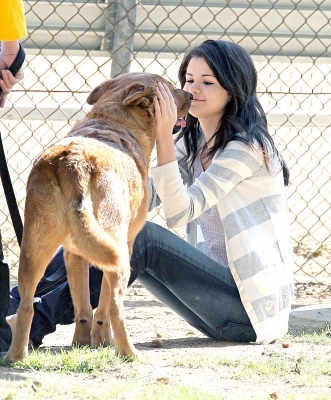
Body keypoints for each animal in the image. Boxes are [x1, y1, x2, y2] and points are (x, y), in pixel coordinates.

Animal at [3, 72, 192, 362]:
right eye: (172, 90)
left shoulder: (73, 253)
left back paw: (16, 356)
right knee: (115, 306)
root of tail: (73, 162)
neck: (115, 119)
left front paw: (82, 344)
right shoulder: (125, 243)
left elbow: (82, 308)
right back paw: (129, 353)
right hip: (118, 255)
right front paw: (102, 341)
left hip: (33, 251)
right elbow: (102, 307)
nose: (192, 95)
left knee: (26, 305)